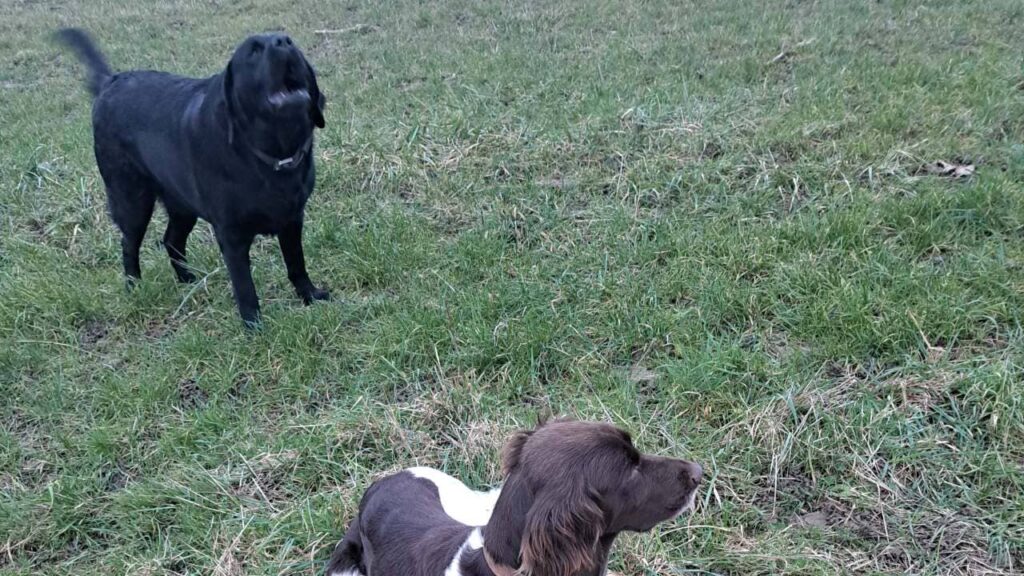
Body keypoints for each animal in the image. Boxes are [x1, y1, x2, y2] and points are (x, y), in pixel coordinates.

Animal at [58, 29, 327, 325]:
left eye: (289, 40)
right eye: (254, 51)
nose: (282, 42)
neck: (270, 156)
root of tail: (111, 81)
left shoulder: (292, 219)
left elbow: (296, 263)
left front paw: (310, 295)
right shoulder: (231, 234)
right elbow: (244, 285)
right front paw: (253, 325)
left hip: (182, 205)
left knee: (171, 240)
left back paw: (187, 279)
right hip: (132, 200)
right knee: (129, 244)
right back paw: (134, 286)